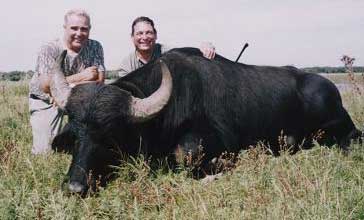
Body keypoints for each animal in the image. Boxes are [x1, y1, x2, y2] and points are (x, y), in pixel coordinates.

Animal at [51, 48, 362, 194]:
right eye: (76, 133)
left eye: (110, 134)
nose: (75, 188)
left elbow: (184, 155)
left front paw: (219, 168)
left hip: (338, 125)